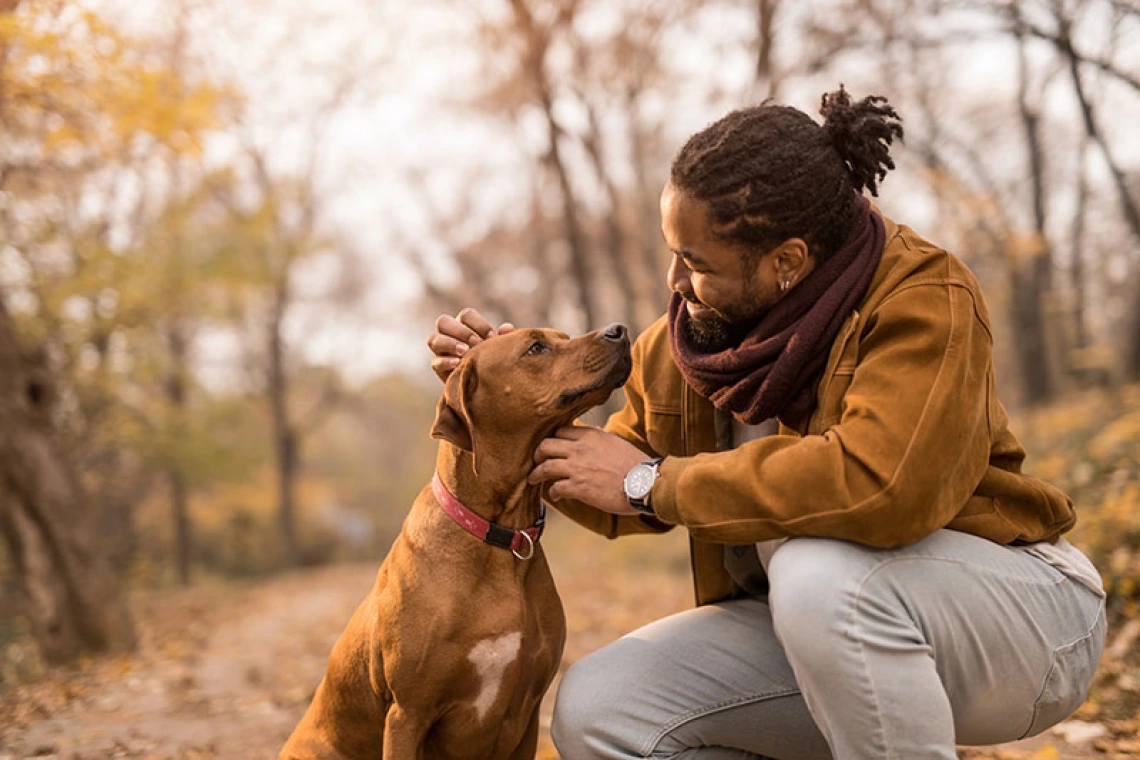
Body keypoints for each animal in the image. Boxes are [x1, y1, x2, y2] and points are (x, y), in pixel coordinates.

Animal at [277, 323, 633, 756]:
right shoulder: (407, 714)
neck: (499, 536)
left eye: (562, 336)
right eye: (536, 347)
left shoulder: (529, 714)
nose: (619, 331)